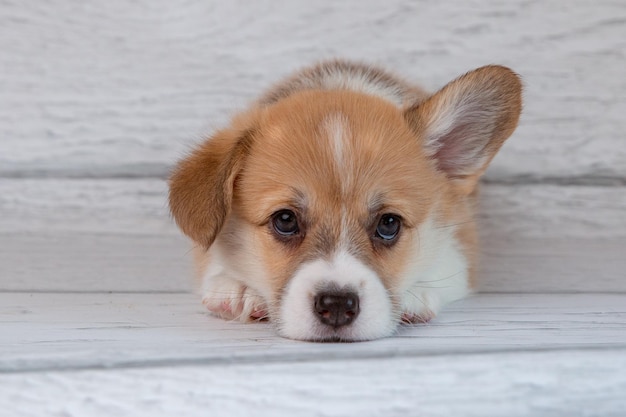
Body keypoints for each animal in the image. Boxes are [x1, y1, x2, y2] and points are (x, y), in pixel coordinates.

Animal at [168, 59, 520, 342]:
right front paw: (240, 289)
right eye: (285, 220)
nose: (336, 306)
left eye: (389, 223)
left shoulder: (459, 249)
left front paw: (414, 295)